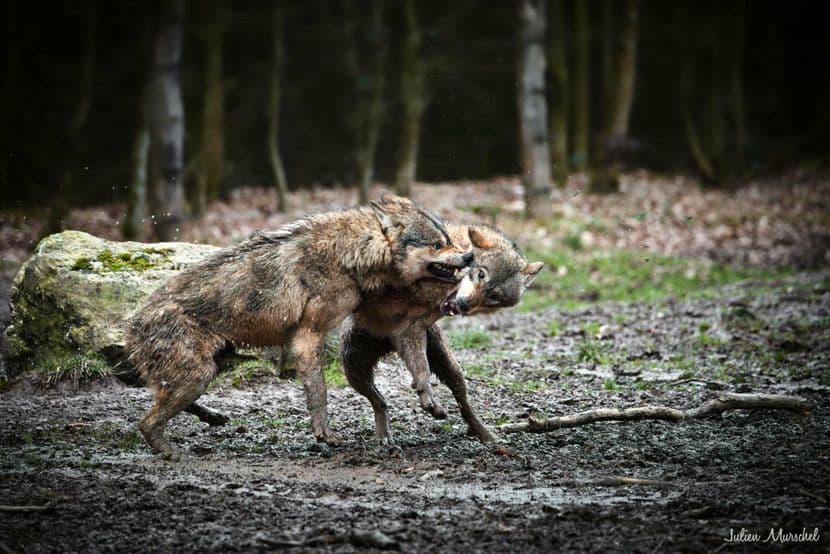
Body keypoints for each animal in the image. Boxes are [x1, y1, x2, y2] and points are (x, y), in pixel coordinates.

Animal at [125, 194, 473, 458]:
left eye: (448, 241)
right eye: (437, 245)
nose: (470, 256)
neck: (351, 253)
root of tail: (132, 326)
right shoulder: (308, 337)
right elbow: (319, 393)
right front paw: (324, 434)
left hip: (212, 368)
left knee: (164, 402)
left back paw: (213, 418)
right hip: (199, 374)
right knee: (146, 422)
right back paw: (170, 451)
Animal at [341, 224, 543, 444]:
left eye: (495, 297)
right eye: (481, 275)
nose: (464, 304)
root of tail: (388, 345)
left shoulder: (412, 328)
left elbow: (422, 369)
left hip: (449, 367)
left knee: (463, 404)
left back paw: (483, 433)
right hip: (353, 366)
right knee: (380, 402)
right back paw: (384, 434)